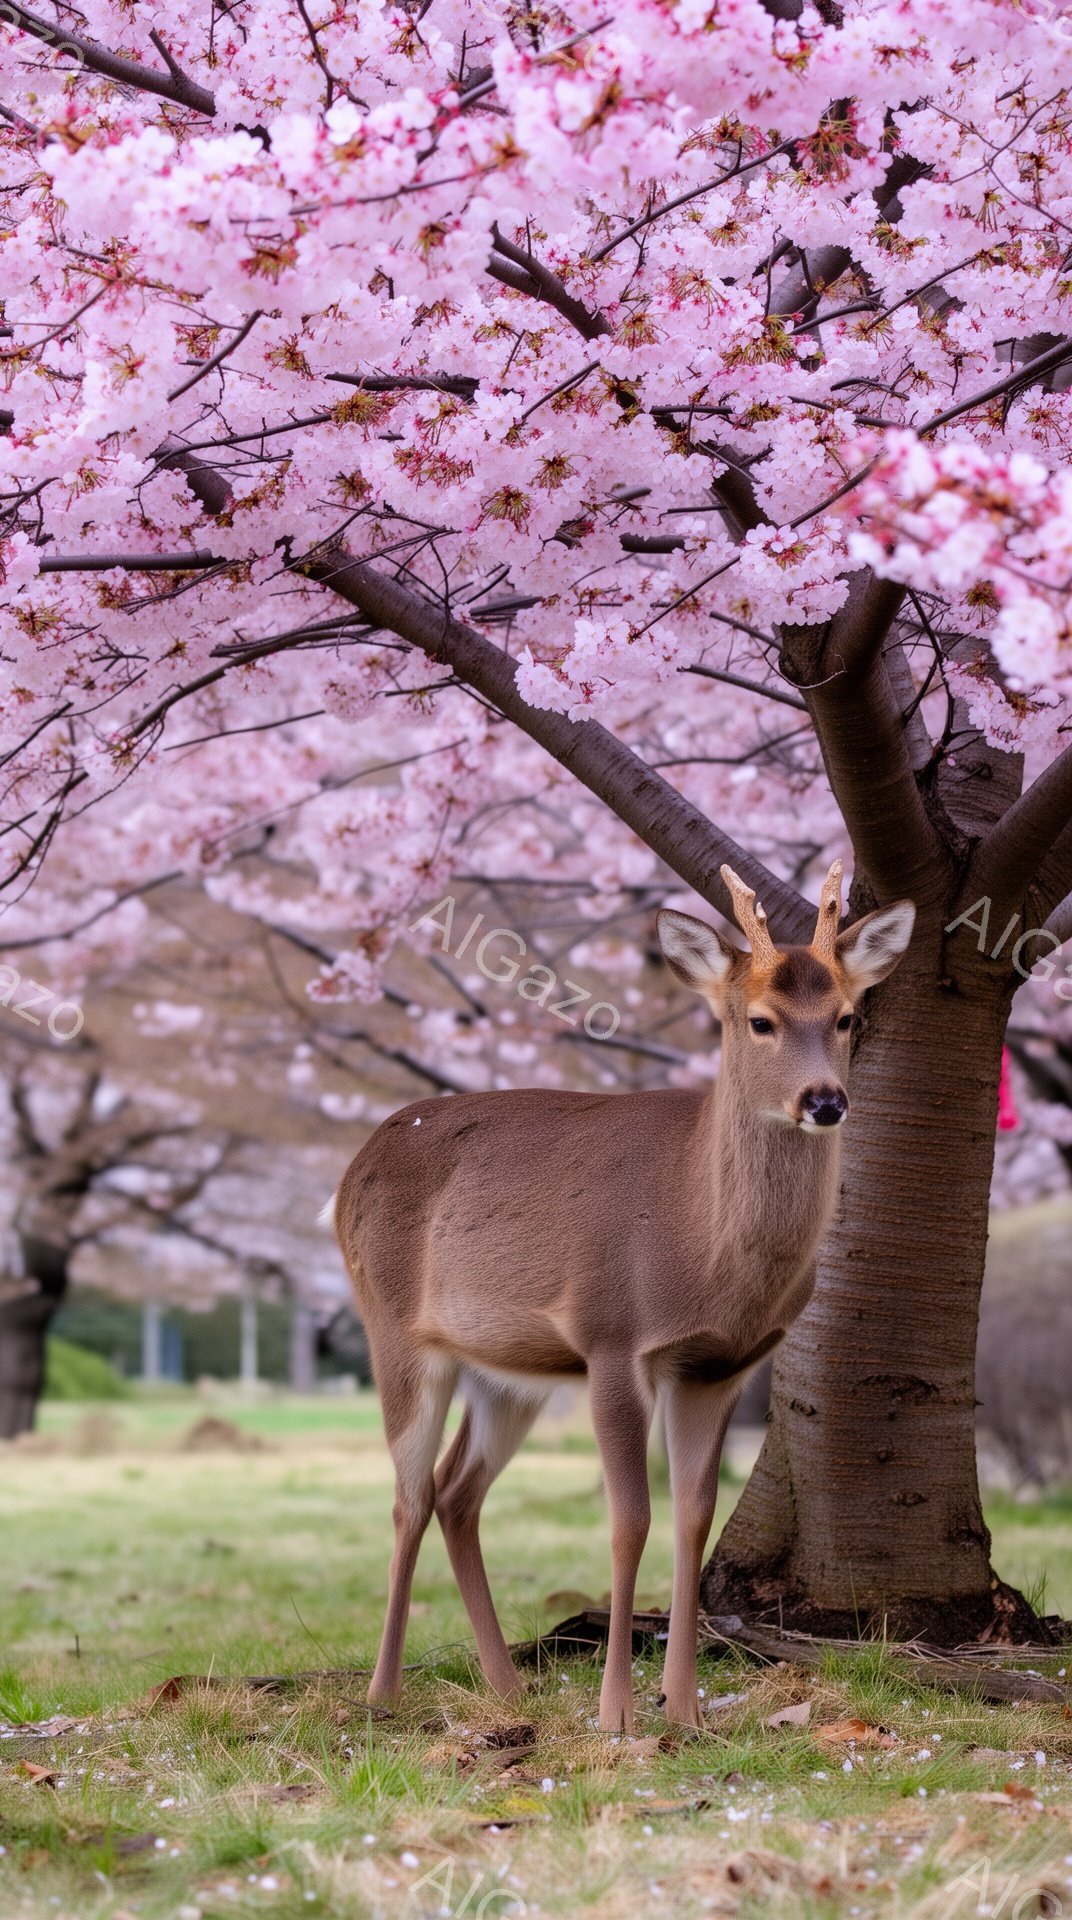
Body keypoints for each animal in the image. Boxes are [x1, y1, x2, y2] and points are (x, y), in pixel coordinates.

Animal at [327, 860, 915, 1732]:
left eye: (846, 1017)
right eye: (760, 1021)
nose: (826, 1100)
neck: (701, 1246)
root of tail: (350, 1170)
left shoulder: (717, 1367)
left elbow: (693, 1517)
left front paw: (686, 1710)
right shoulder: (612, 1337)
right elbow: (628, 1519)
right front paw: (617, 1716)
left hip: (512, 1371)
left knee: (458, 1491)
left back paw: (507, 1686)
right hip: (394, 1328)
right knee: (409, 1494)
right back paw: (383, 1693)